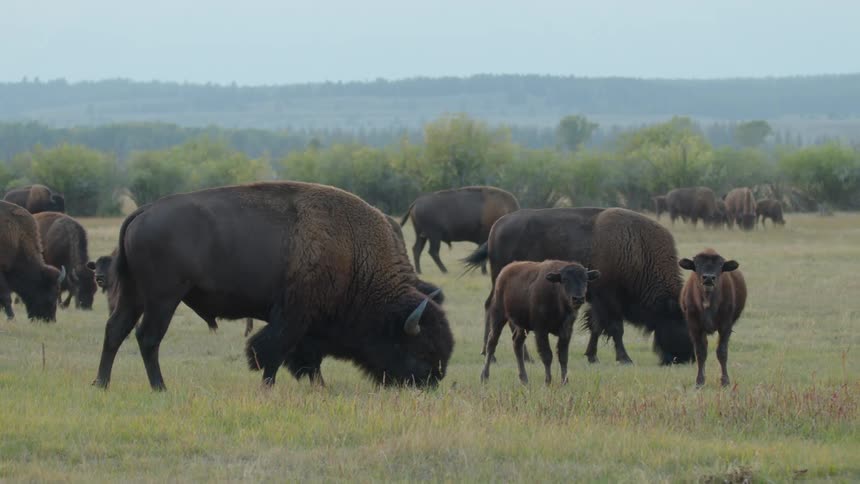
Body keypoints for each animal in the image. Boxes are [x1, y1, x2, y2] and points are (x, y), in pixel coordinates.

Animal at [92, 182, 455, 391]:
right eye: (421, 348)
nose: (431, 382)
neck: (355, 254)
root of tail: (142, 211)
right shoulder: (294, 317)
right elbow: (273, 350)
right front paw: (270, 386)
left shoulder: (308, 326)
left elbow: (305, 358)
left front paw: (319, 386)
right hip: (163, 298)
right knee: (147, 337)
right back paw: (159, 387)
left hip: (134, 295)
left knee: (115, 330)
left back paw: (101, 384)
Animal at [464, 207, 694, 366]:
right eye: (682, 322)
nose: (689, 358)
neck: (635, 248)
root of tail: (496, 229)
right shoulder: (608, 299)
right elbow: (615, 328)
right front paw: (624, 358)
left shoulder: (596, 300)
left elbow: (596, 327)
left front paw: (592, 356)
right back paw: (514, 357)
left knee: (491, 307)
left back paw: (494, 354)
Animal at [679, 249, 746, 387]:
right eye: (696, 264)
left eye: (720, 265)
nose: (709, 278)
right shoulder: (695, 327)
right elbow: (700, 353)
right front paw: (699, 382)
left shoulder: (725, 326)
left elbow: (722, 352)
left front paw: (725, 382)